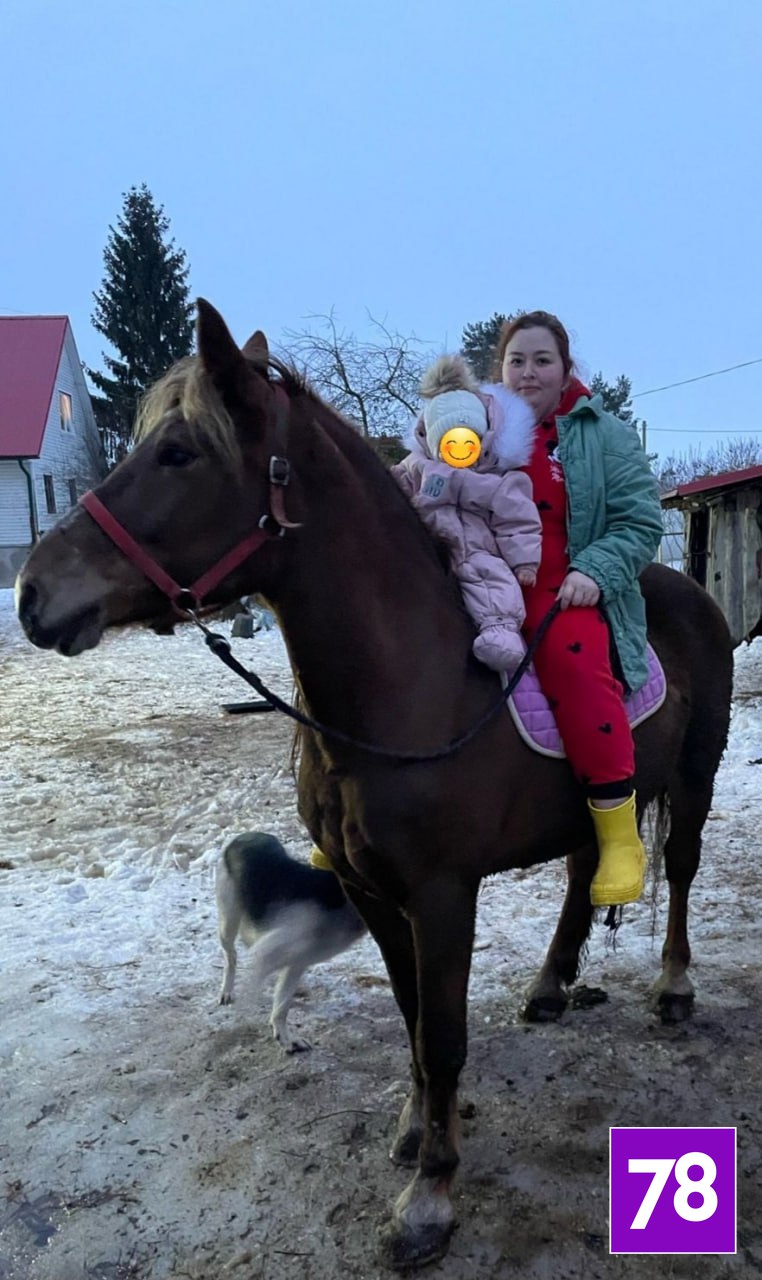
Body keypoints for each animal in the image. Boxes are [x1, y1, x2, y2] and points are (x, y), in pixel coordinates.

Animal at [16, 300, 733, 1270]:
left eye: (179, 453)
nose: (31, 593)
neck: (407, 688)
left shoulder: (441, 894)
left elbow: (443, 1034)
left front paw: (428, 1197)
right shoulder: (371, 889)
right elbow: (410, 1019)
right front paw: (414, 1129)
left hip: (697, 775)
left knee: (682, 871)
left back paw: (674, 989)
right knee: (587, 867)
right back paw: (550, 985)